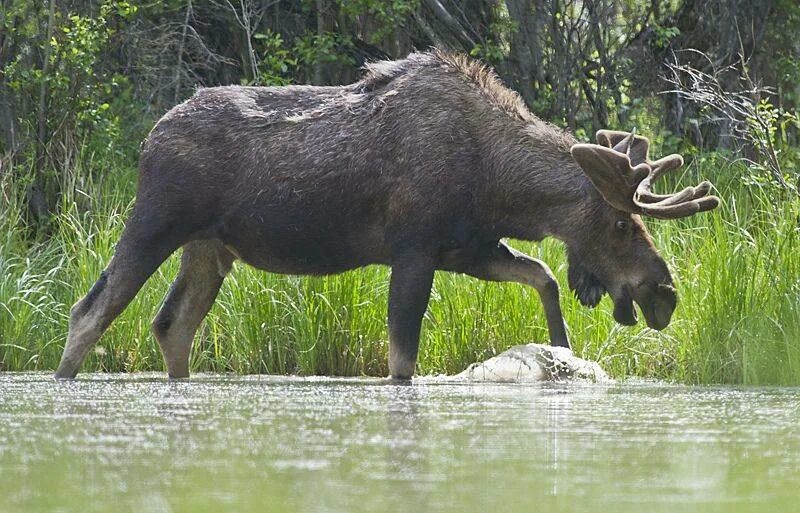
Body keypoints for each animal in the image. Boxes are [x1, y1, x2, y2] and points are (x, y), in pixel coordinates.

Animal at [56, 51, 720, 380]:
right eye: (621, 224)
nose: (664, 294)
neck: (500, 183)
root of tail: (149, 139)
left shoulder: (467, 247)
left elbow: (544, 275)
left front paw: (562, 353)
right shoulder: (415, 247)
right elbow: (403, 360)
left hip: (210, 248)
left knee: (172, 326)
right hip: (156, 222)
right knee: (88, 312)